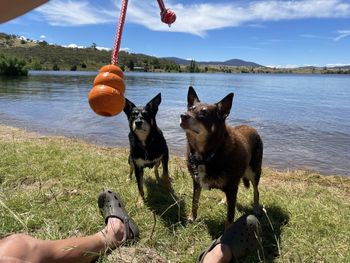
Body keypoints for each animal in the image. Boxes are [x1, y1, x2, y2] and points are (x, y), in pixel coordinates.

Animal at [180, 87, 262, 229]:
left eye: (204, 113)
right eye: (190, 108)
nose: (183, 115)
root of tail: (251, 127)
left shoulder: (232, 187)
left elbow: (230, 216)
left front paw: (227, 231)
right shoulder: (196, 182)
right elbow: (194, 201)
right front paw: (192, 218)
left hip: (254, 172)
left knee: (256, 191)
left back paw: (256, 208)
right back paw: (224, 200)